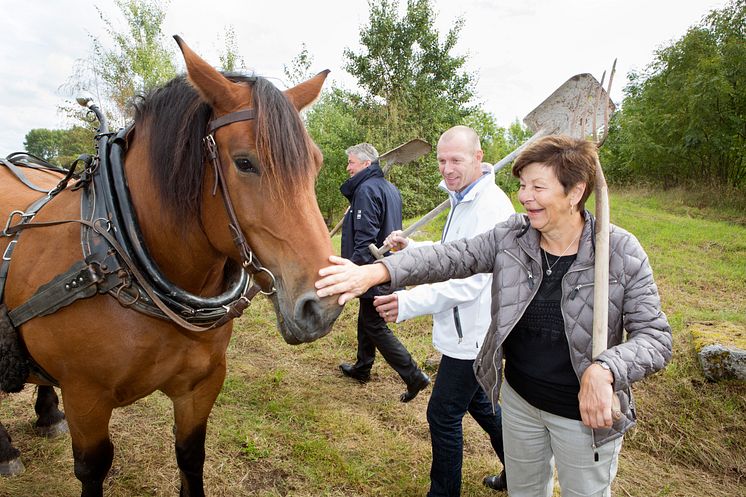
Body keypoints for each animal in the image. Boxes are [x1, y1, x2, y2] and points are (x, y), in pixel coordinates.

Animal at [0, 36, 340, 494]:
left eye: (316, 163)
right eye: (245, 162)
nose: (324, 306)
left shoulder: (201, 385)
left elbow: (190, 456)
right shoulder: (86, 398)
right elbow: (93, 468)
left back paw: (48, 412)